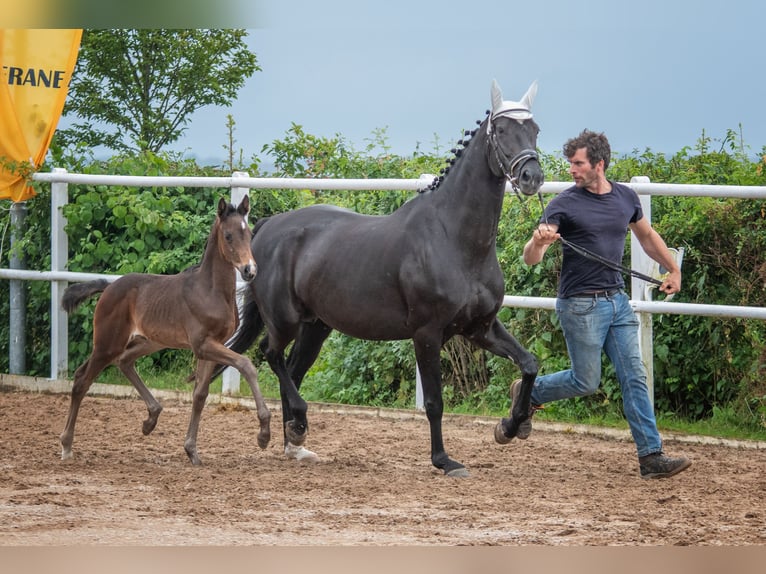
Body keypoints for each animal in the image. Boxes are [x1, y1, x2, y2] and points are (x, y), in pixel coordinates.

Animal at [60, 198, 272, 468]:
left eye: (249, 233)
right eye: (228, 235)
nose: (249, 270)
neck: (211, 291)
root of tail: (108, 287)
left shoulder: (211, 346)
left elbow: (200, 395)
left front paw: (191, 451)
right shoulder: (203, 345)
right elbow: (246, 364)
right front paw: (264, 434)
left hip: (149, 341)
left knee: (123, 362)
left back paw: (151, 419)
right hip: (108, 343)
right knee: (81, 380)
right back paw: (66, 445)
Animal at [230, 80, 544, 476]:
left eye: (535, 130)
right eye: (501, 130)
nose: (532, 177)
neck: (453, 239)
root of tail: (268, 226)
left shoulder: (479, 327)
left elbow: (529, 363)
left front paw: (510, 426)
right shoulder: (427, 333)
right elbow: (435, 402)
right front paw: (444, 461)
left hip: (316, 326)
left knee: (293, 371)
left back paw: (295, 443)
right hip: (284, 320)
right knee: (271, 356)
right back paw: (297, 425)